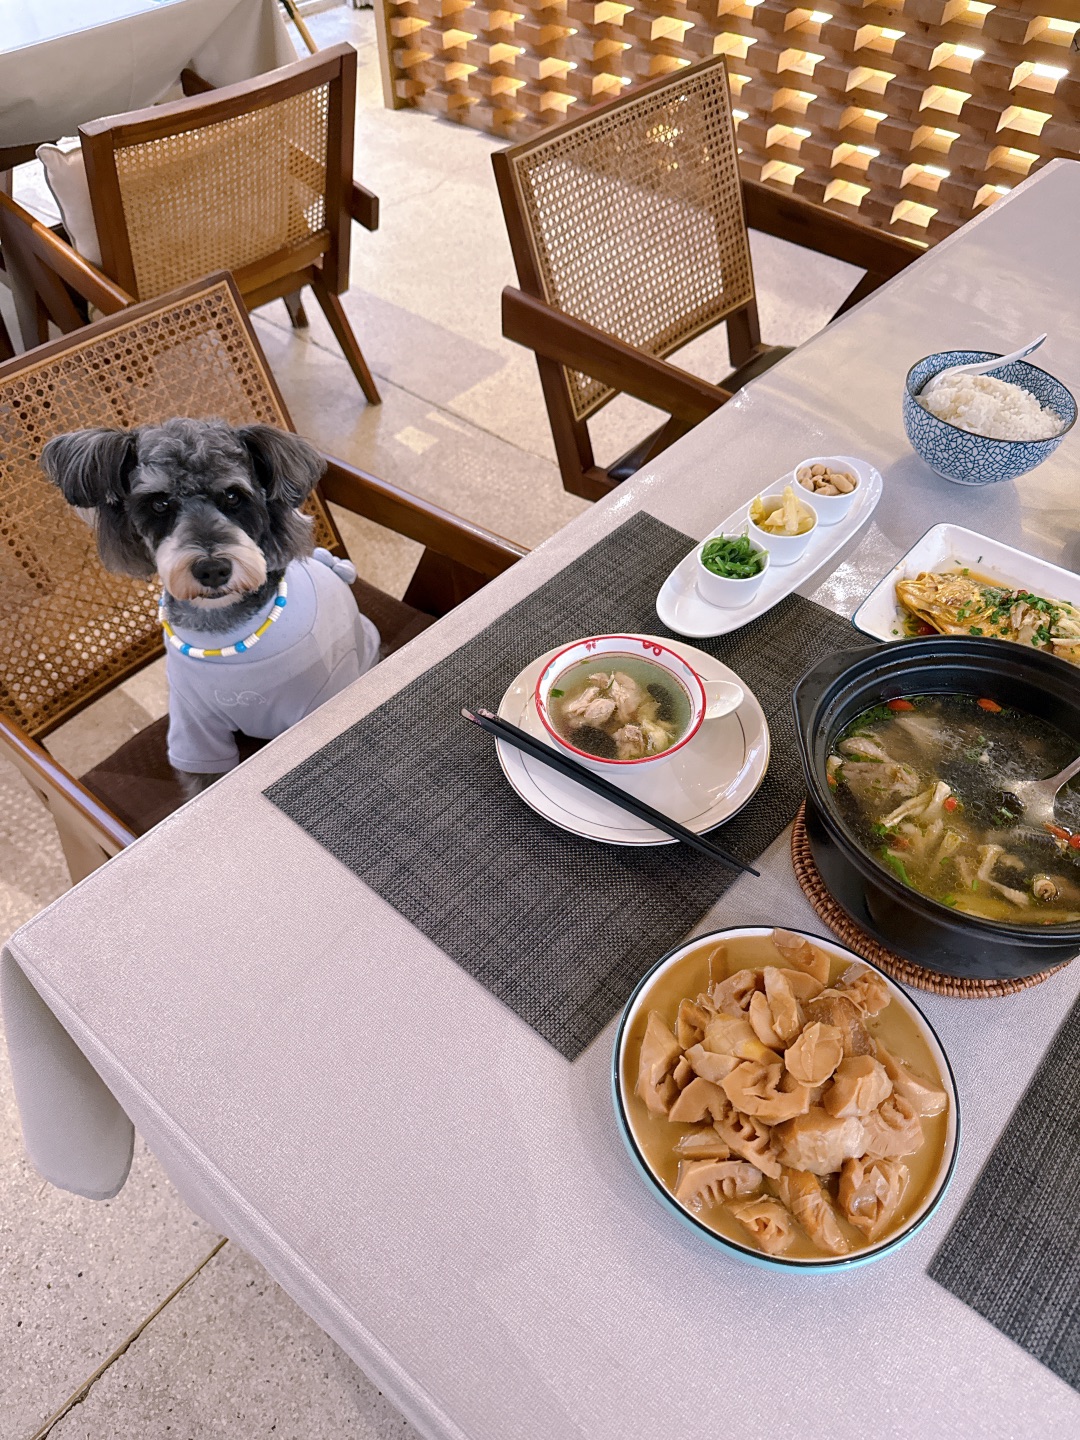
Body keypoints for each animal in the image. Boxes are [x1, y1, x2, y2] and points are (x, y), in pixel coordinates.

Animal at [41, 417, 379, 790]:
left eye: (232, 496)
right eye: (160, 504)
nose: (213, 569)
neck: (221, 627)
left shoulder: (321, 699)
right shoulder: (194, 729)